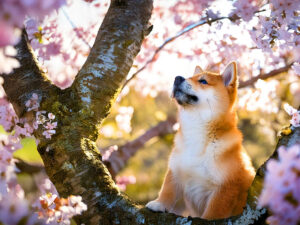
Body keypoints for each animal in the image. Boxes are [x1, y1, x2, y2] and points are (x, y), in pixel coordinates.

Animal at [146, 62, 254, 220]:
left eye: (203, 81)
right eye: (190, 77)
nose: (177, 78)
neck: (196, 129)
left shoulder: (226, 187)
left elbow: (214, 212)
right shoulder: (175, 170)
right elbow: (168, 190)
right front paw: (160, 204)